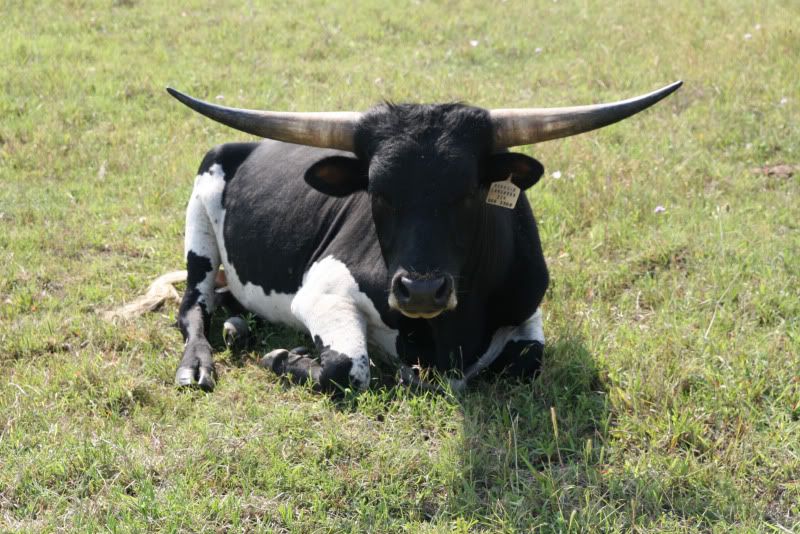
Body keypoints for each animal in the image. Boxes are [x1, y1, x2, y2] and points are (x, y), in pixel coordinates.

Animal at [166, 81, 682, 393]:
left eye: (470, 192)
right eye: (376, 191)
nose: (420, 290)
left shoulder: (527, 307)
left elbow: (527, 361)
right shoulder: (322, 291)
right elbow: (345, 367)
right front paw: (282, 356)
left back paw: (237, 327)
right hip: (199, 221)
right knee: (193, 308)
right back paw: (198, 363)